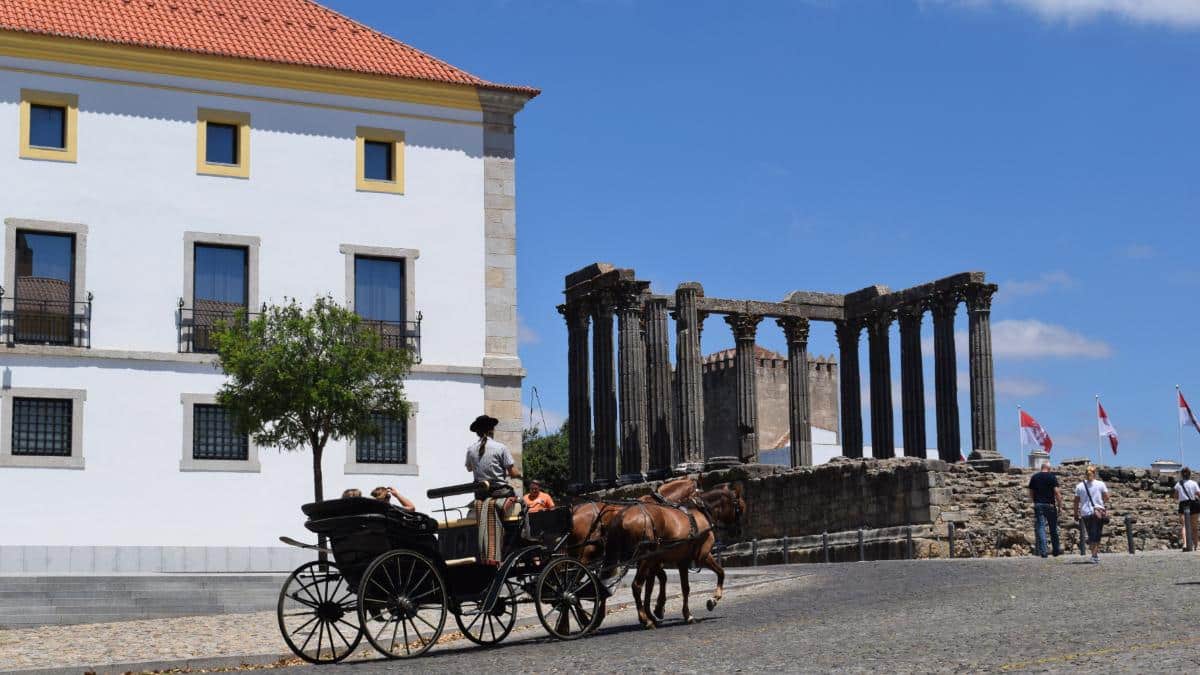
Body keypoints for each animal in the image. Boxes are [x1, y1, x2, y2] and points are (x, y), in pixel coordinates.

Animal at [604, 480, 744, 624]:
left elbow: (683, 587)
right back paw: (645, 619)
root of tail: (622, 515)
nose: (738, 531)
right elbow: (721, 572)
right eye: (740, 508)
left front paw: (682, 613)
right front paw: (713, 599)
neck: (701, 513)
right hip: (645, 558)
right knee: (637, 586)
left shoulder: (681, 561)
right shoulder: (702, 556)